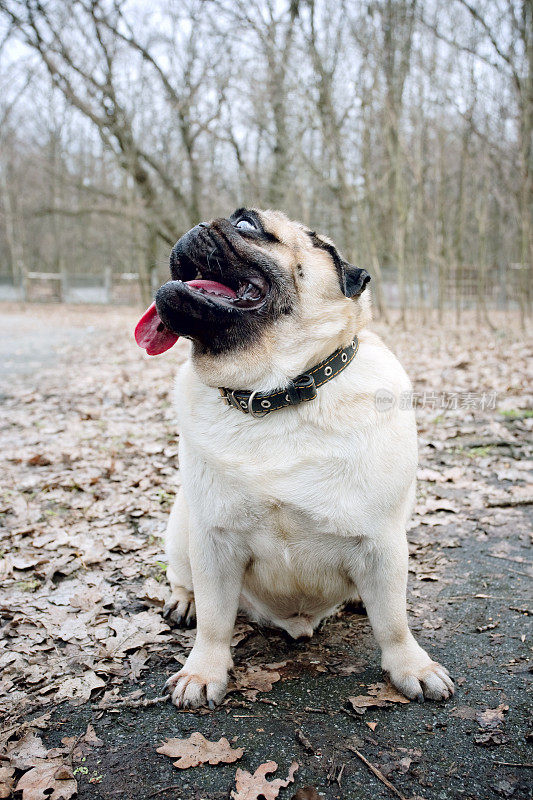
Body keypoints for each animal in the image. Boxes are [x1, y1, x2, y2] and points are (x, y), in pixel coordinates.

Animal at [134, 209, 454, 708]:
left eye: (247, 225)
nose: (199, 224)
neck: (274, 393)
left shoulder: (382, 542)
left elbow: (394, 622)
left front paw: (411, 667)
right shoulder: (214, 542)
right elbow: (215, 621)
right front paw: (202, 671)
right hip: (182, 525)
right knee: (185, 581)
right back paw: (184, 601)